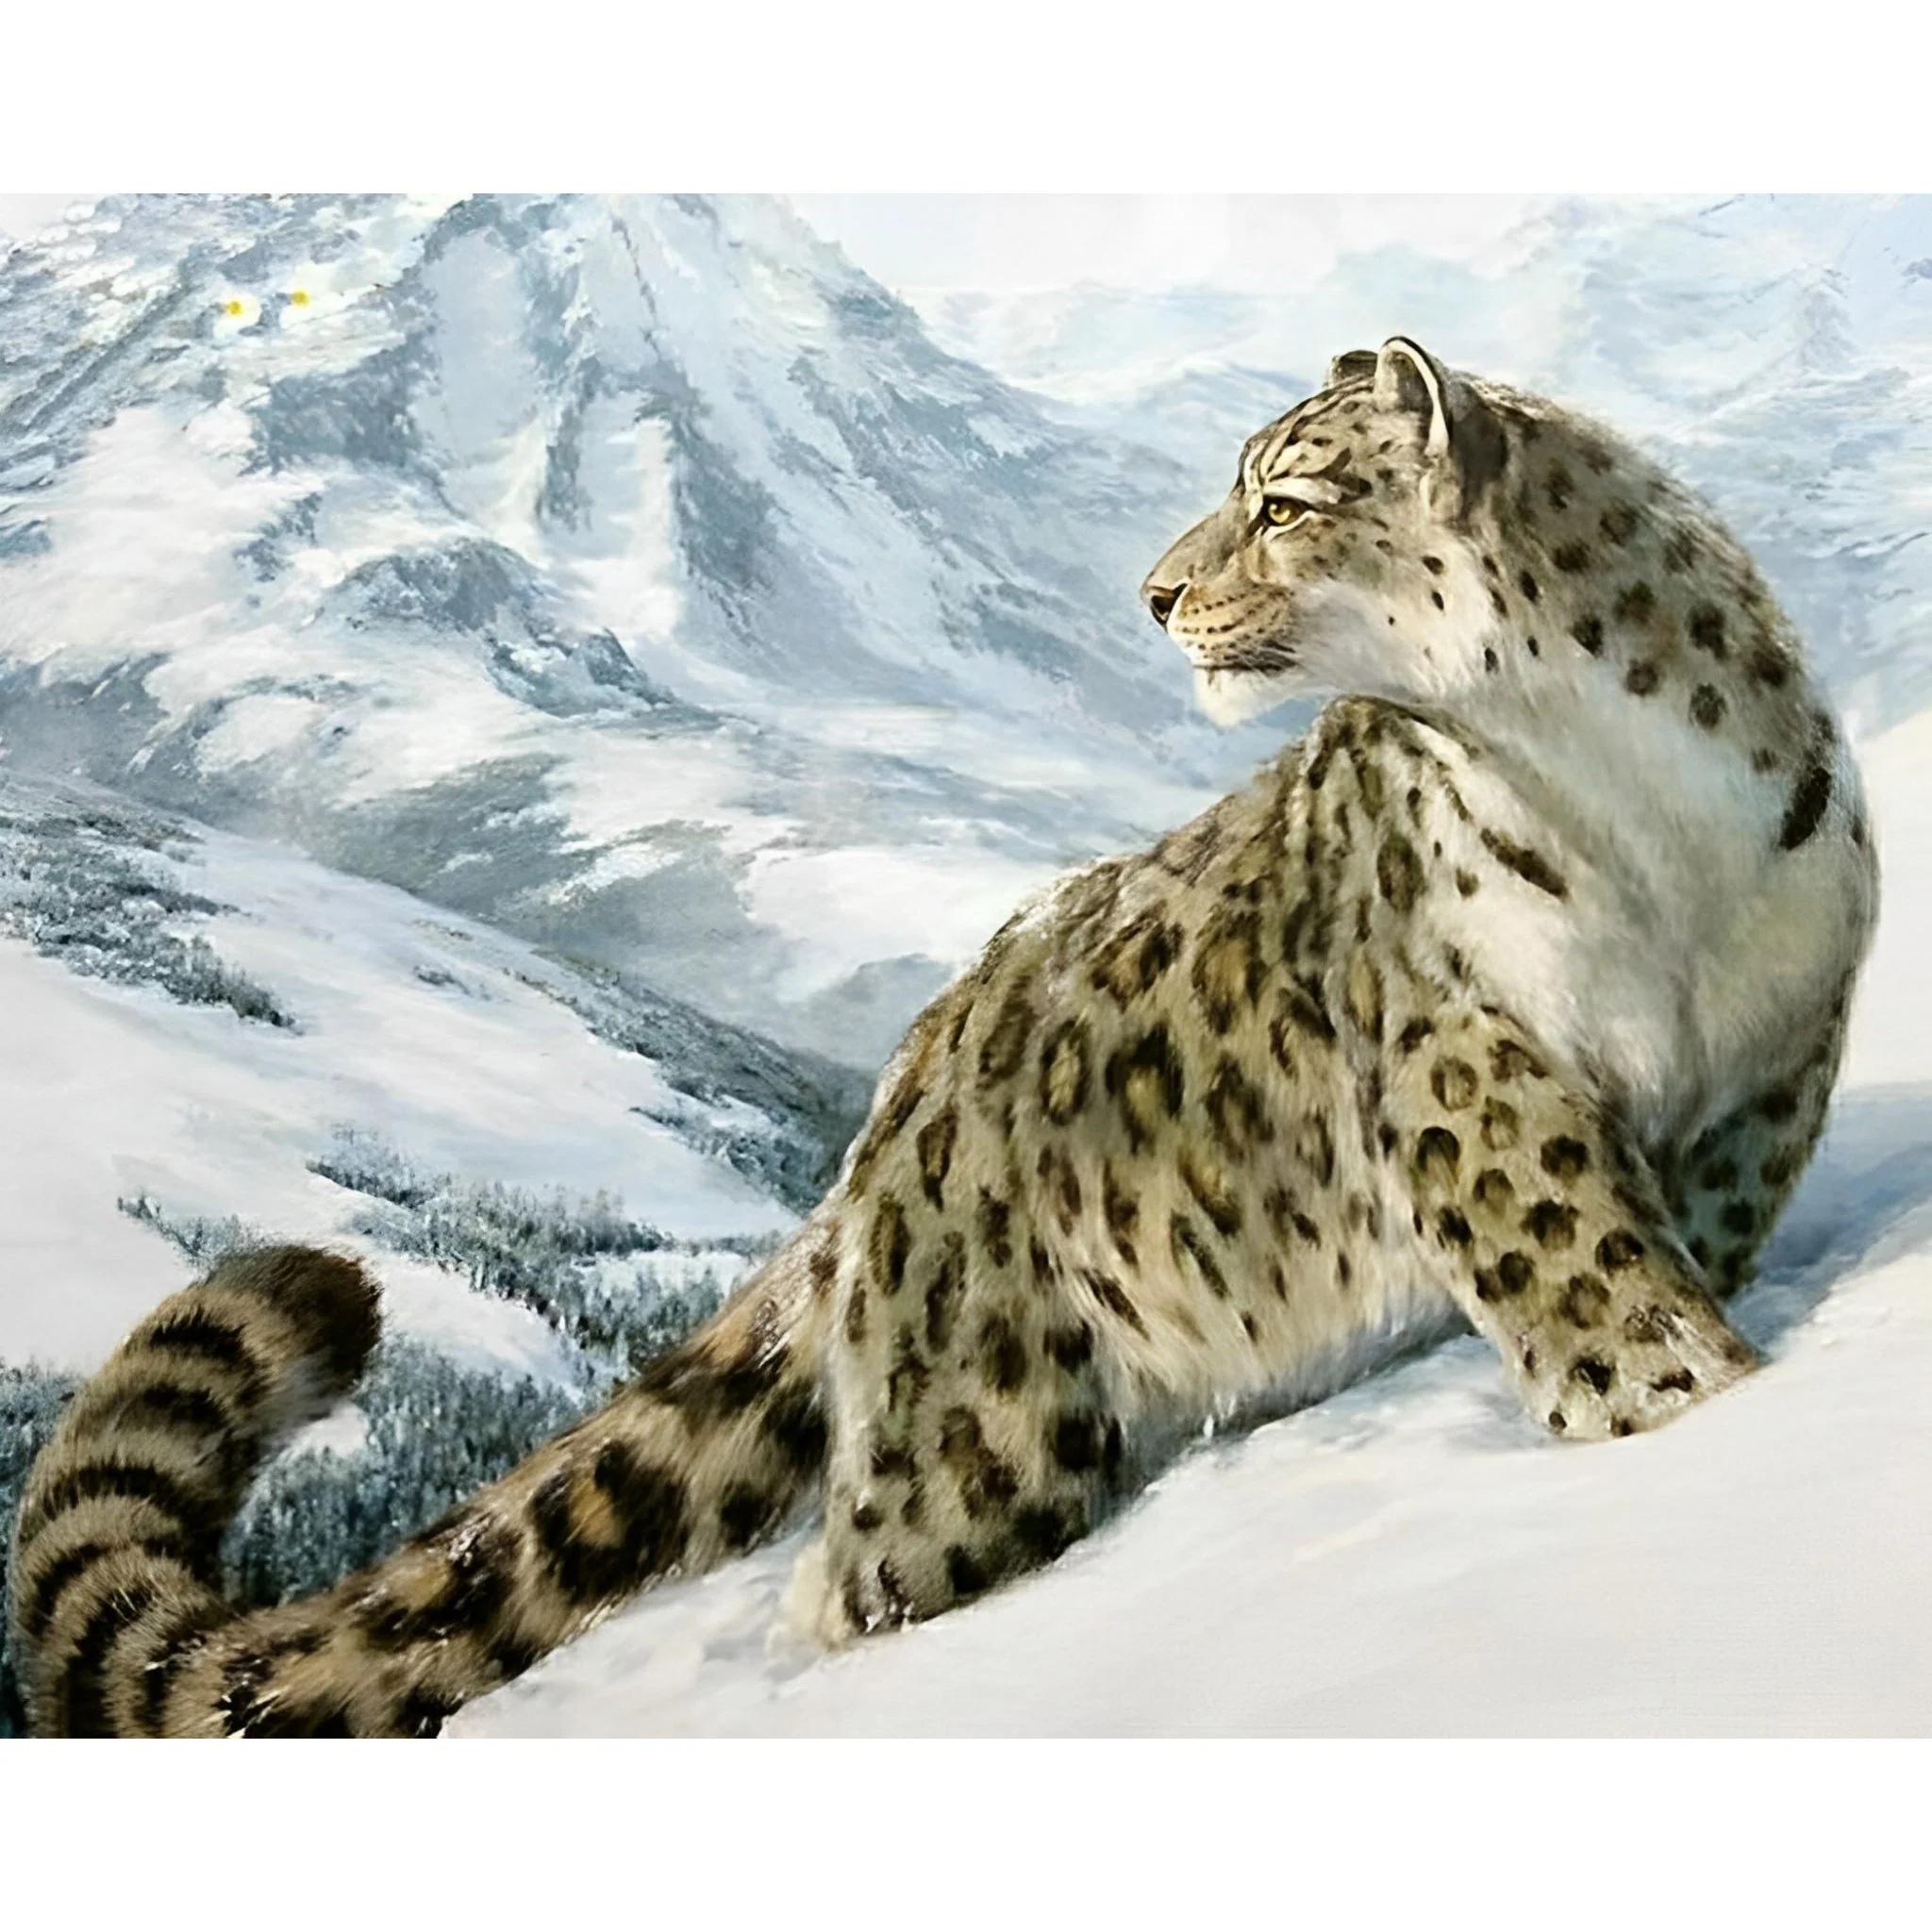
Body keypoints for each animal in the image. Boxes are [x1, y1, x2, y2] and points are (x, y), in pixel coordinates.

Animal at [7, 336, 1878, 1736]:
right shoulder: (1462, 1061)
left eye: (1282, 498)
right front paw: (1678, 1408)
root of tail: (892, 1111)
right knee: (861, 1581)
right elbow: (1580, 1265)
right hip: (981, 1435)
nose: (1151, 595)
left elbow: (1679, 1228)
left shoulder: (1777, 1048)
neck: (1635, 818)